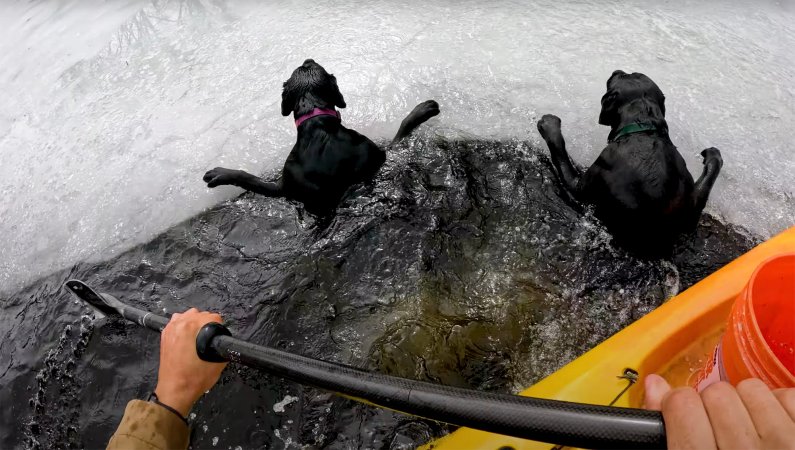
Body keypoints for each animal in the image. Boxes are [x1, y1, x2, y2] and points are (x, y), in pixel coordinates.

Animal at [205, 59, 438, 214]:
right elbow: (403, 128)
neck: (316, 125)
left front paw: (220, 173)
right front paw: (423, 109)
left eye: (305, 67)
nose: (307, 59)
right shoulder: (377, 154)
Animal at [536, 70, 724, 253]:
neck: (642, 131)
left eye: (621, 76)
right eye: (633, 73)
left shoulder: (582, 185)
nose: (616, 70)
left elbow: (559, 152)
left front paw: (549, 124)